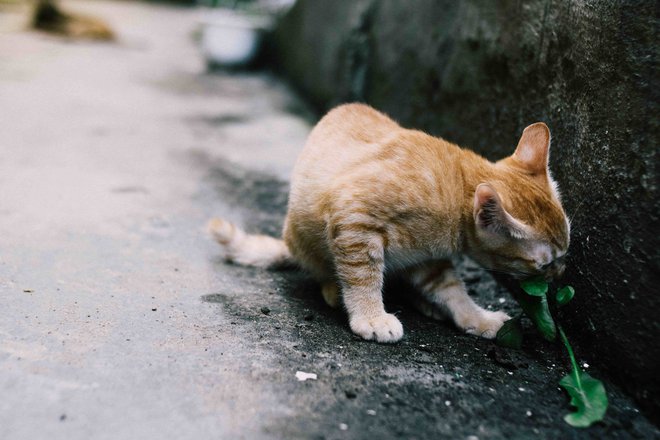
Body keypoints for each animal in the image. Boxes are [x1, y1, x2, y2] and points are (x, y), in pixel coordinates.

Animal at [209, 104, 568, 344]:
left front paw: (475, 317)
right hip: (305, 237)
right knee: (325, 271)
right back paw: (335, 290)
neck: (454, 188)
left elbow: (453, 291)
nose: (560, 274)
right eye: (543, 263)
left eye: (564, 253)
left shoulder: (430, 259)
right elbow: (362, 276)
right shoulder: (353, 218)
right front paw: (370, 316)